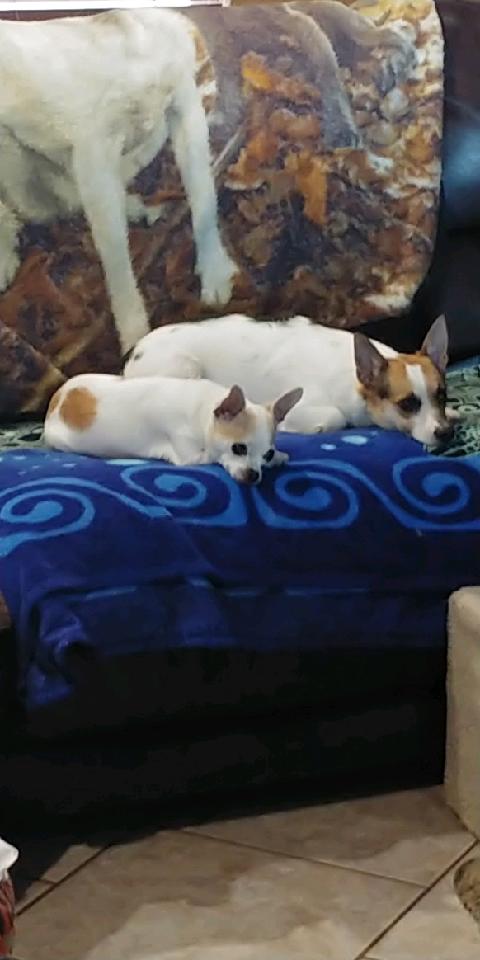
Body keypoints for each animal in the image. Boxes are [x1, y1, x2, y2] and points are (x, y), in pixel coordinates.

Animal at [0, 8, 236, 352]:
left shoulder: (184, 107)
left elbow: (203, 198)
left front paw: (214, 270)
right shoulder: (94, 156)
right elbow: (117, 262)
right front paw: (136, 341)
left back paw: (136, 208)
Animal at [43, 374, 302, 484]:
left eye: (266, 455)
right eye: (238, 449)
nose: (253, 475)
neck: (203, 410)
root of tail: (57, 397)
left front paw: (279, 456)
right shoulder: (189, 458)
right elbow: (211, 455)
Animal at [125, 316, 460, 450]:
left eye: (441, 395)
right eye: (408, 404)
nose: (445, 434)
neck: (355, 382)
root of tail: (133, 354)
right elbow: (335, 417)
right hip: (185, 368)